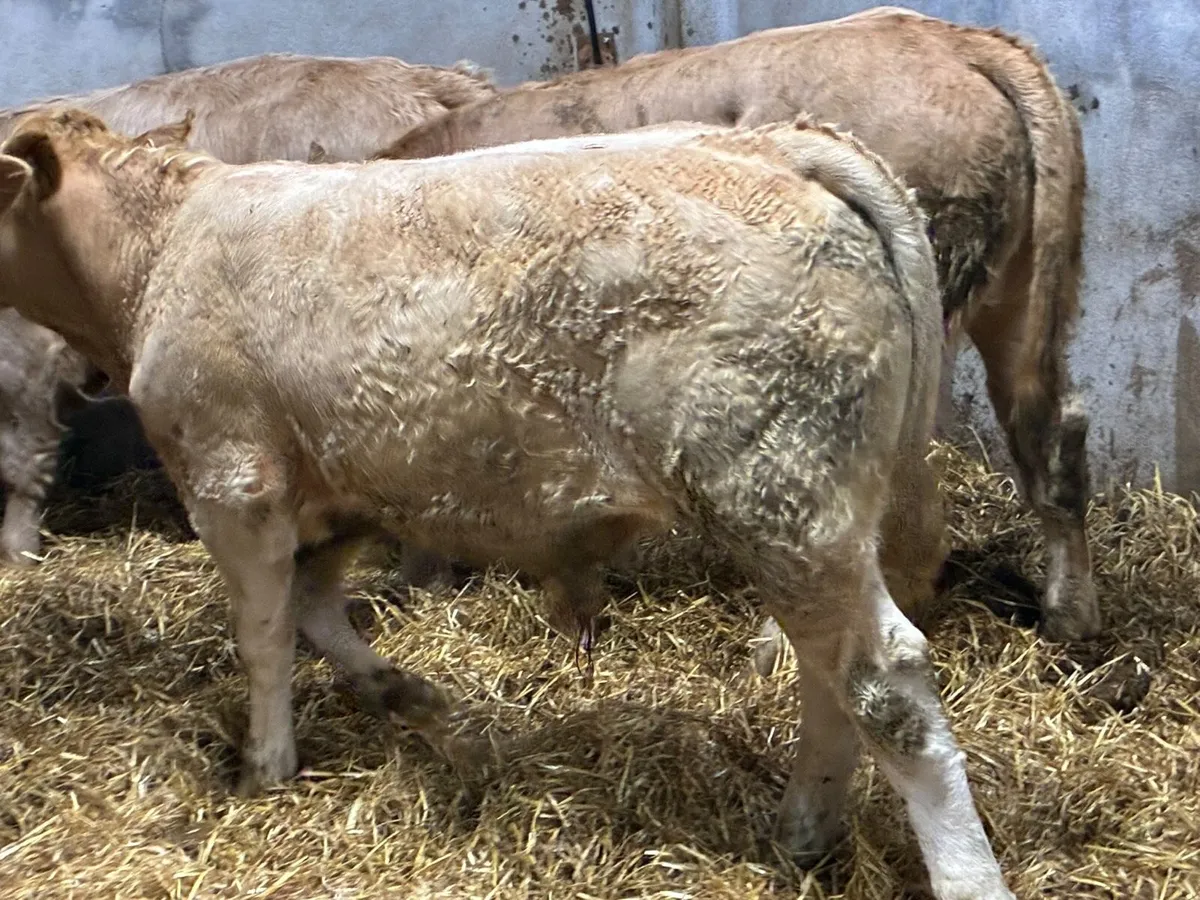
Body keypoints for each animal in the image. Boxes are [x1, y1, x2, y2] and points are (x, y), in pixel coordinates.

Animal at [0, 109, 1014, 899]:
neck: (158, 245)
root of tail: (777, 143)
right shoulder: (344, 485)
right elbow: (317, 606)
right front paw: (401, 691)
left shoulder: (232, 478)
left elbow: (264, 635)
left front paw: (266, 767)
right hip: (811, 519)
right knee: (826, 675)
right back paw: (804, 829)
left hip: (781, 491)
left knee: (883, 683)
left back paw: (961, 873)